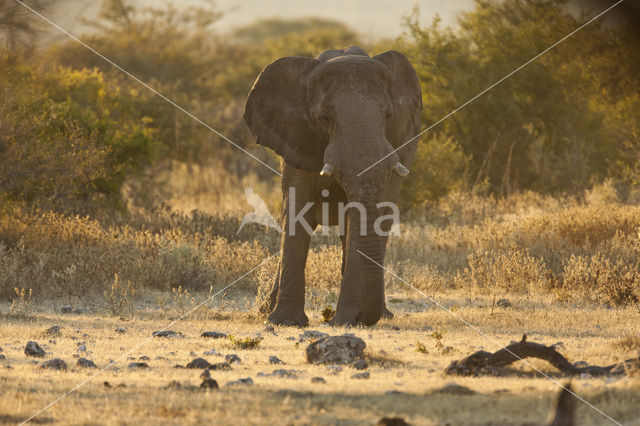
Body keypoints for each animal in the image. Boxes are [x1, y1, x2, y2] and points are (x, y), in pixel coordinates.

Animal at [242, 45, 422, 326]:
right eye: (324, 118)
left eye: (388, 116)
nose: (362, 318)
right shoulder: (297, 139)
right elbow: (296, 213)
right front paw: (286, 322)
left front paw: (345, 320)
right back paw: (266, 312)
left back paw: (379, 315)